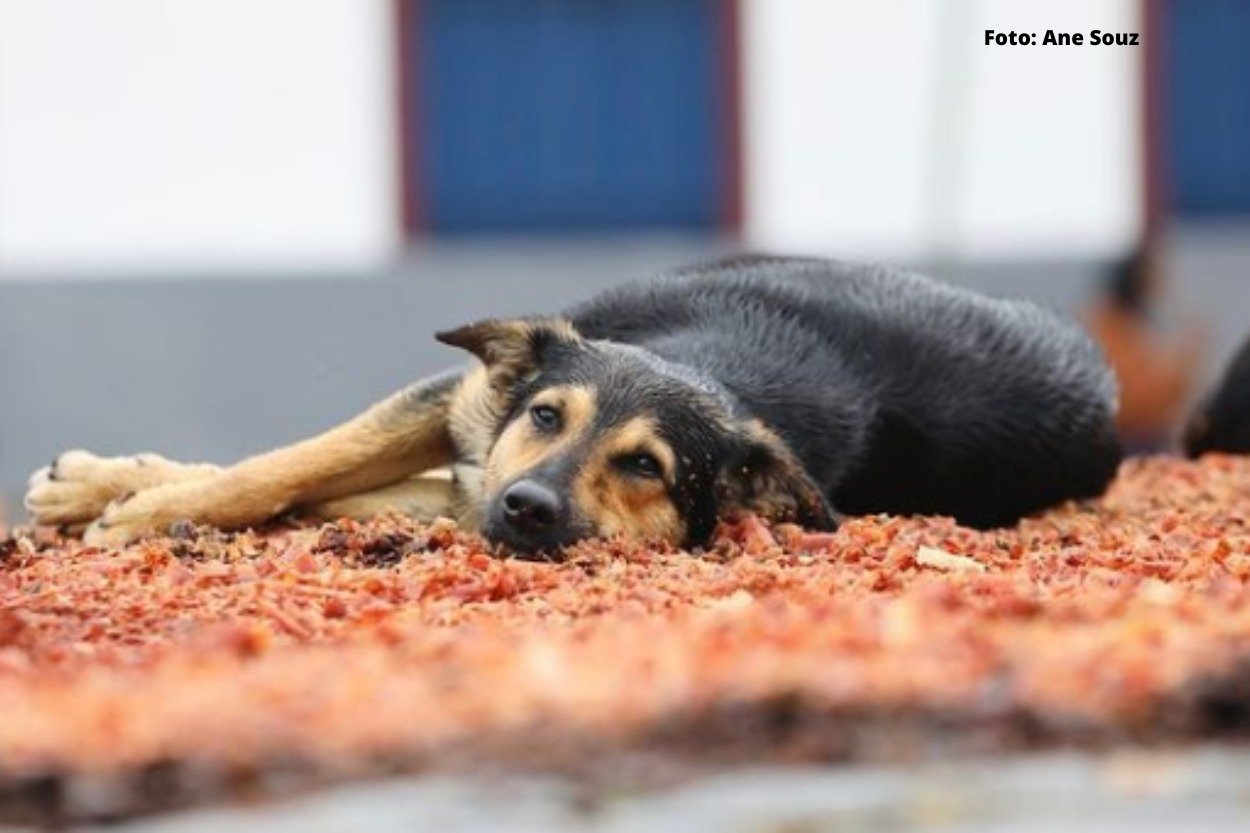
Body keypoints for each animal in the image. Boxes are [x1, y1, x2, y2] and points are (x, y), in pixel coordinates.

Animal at [26, 256, 1125, 555]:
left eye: (644, 465)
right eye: (548, 416)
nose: (527, 508)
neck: (710, 366)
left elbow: (315, 485)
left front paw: (137, 502)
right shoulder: (468, 401)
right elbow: (287, 466)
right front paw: (138, 504)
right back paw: (102, 483)